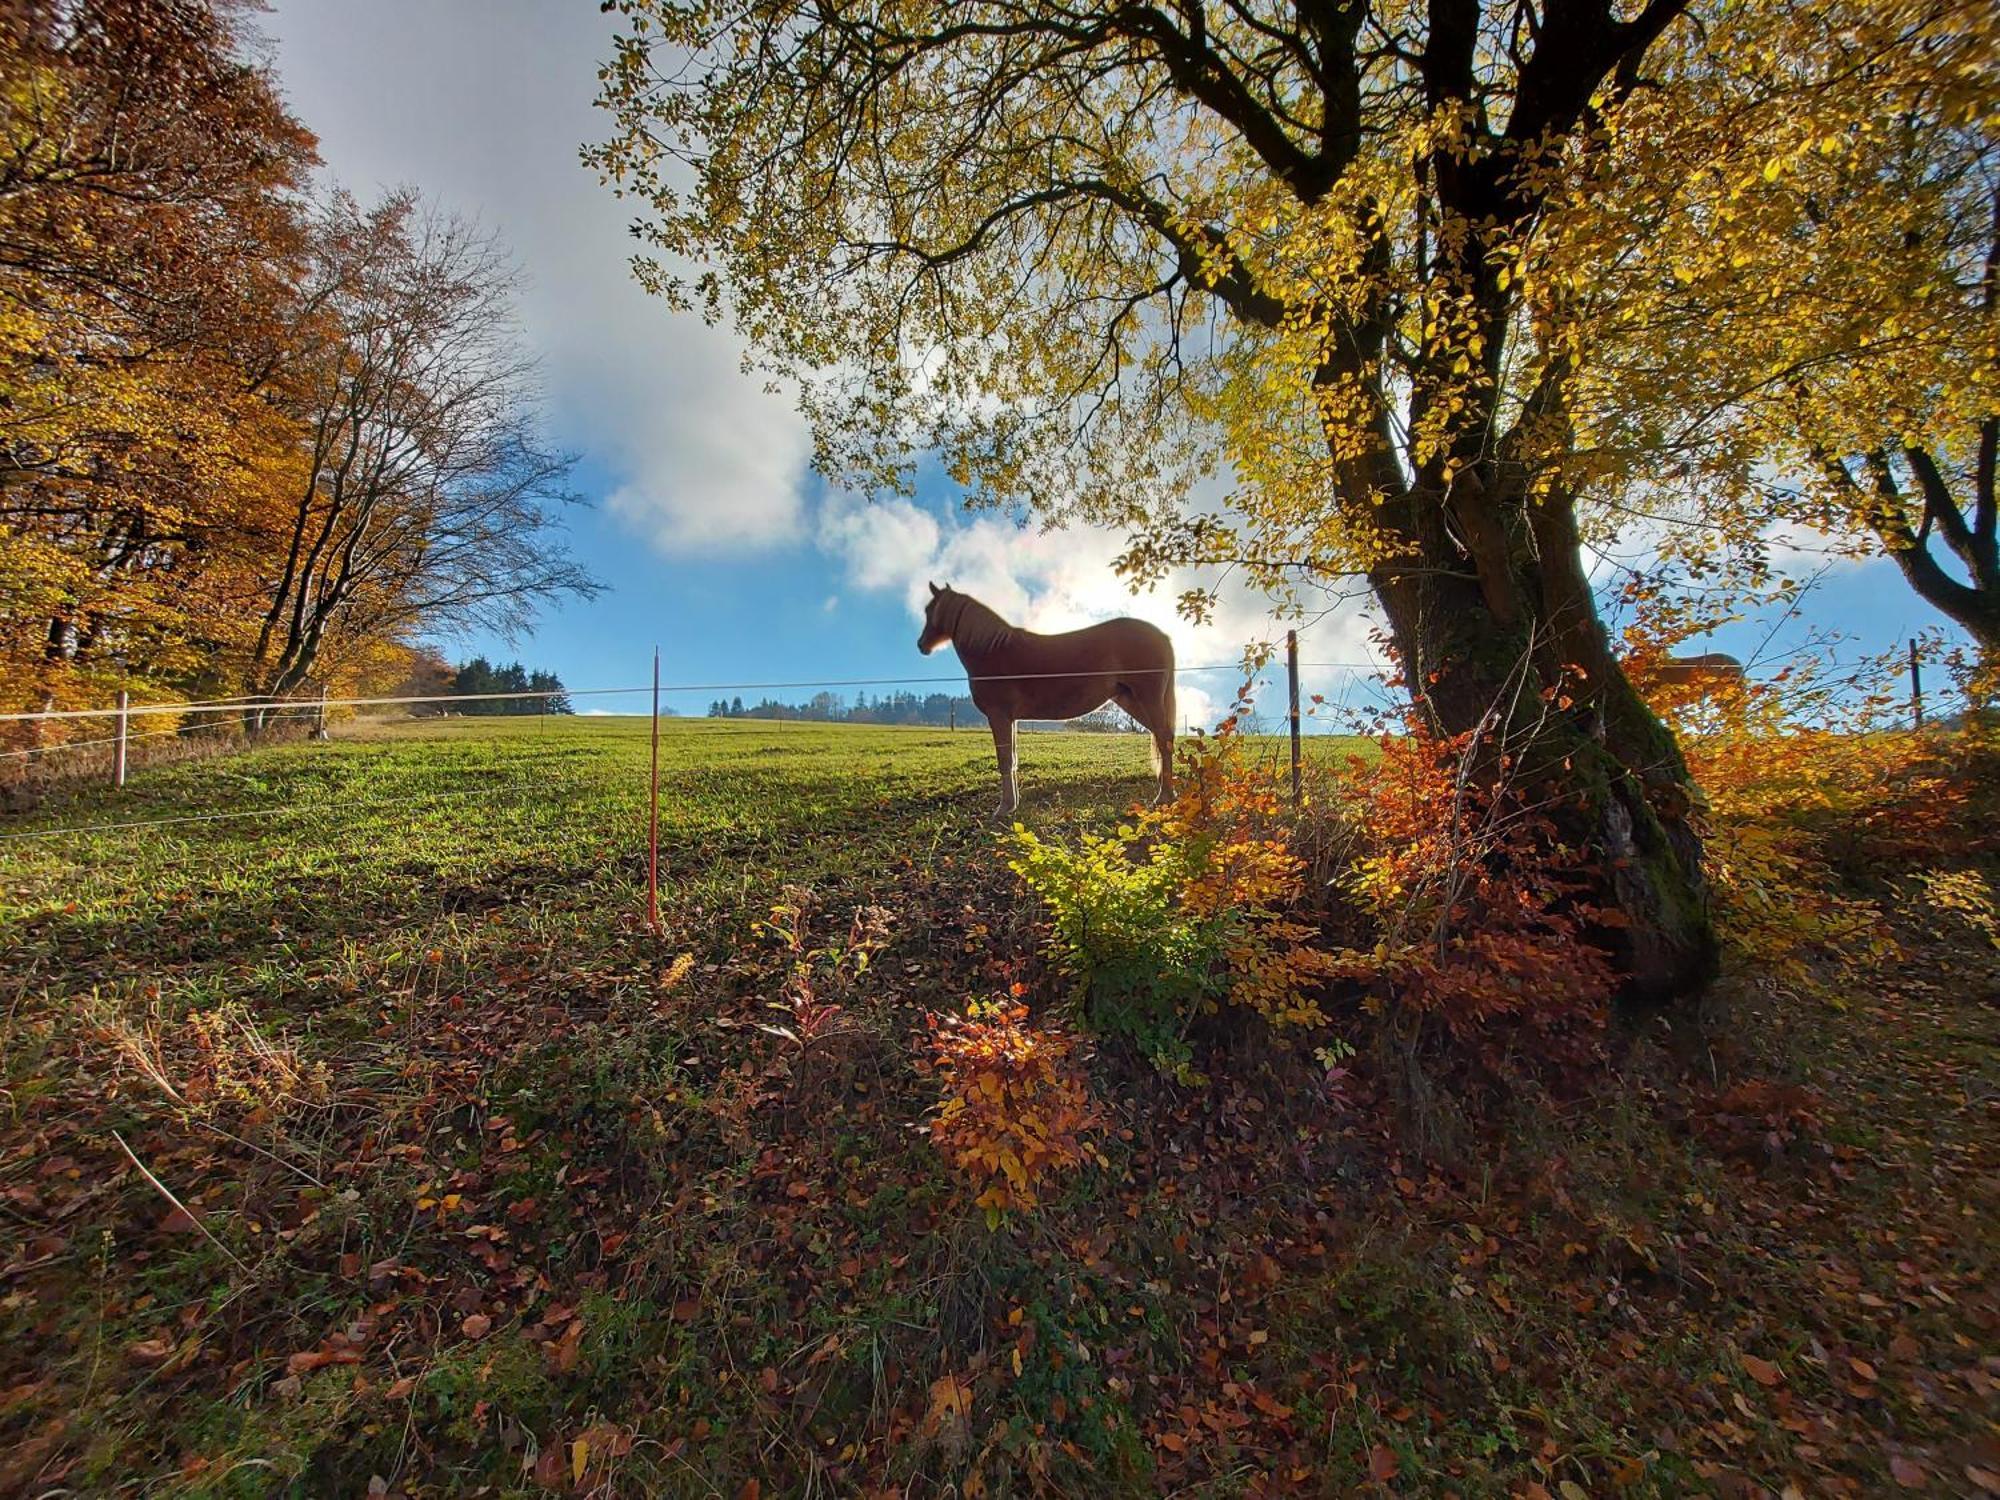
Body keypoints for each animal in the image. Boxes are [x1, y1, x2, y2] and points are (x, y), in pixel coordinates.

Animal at [916, 588, 1176, 824]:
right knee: (1162, 737)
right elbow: (1013, 759)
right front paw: (1012, 804)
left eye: (930, 610)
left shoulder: (998, 716)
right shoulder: (1010, 719)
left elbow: (1005, 760)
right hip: (1131, 700)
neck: (992, 652)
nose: (921, 645)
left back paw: (1164, 796)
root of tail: (1162, 635)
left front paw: (1004, 808)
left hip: (1148, 698)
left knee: (1164, 740)